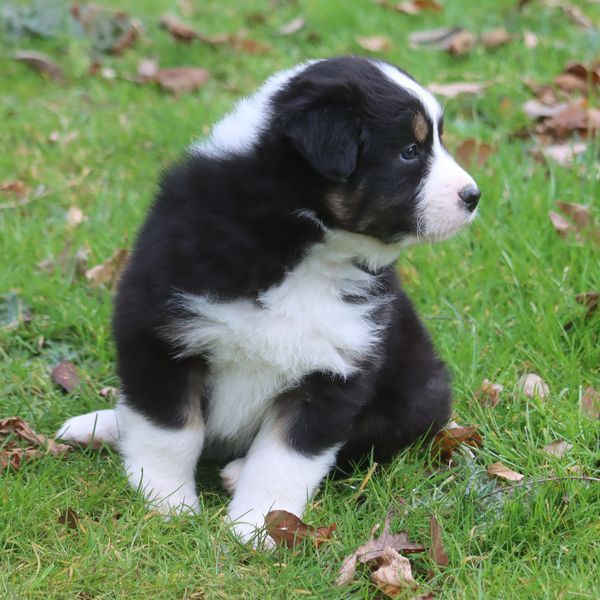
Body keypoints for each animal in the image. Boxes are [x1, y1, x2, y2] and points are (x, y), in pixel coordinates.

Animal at [58, 56, 480, 544]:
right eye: (409, 151)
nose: (473, 196)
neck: (303, 244)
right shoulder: (162, 332)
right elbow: (169, 432)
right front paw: (167, 504)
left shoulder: (334, 366)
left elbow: (285, 457)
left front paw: (257, 527)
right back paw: (100, 426)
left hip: (416, 395)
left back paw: (234, 472)